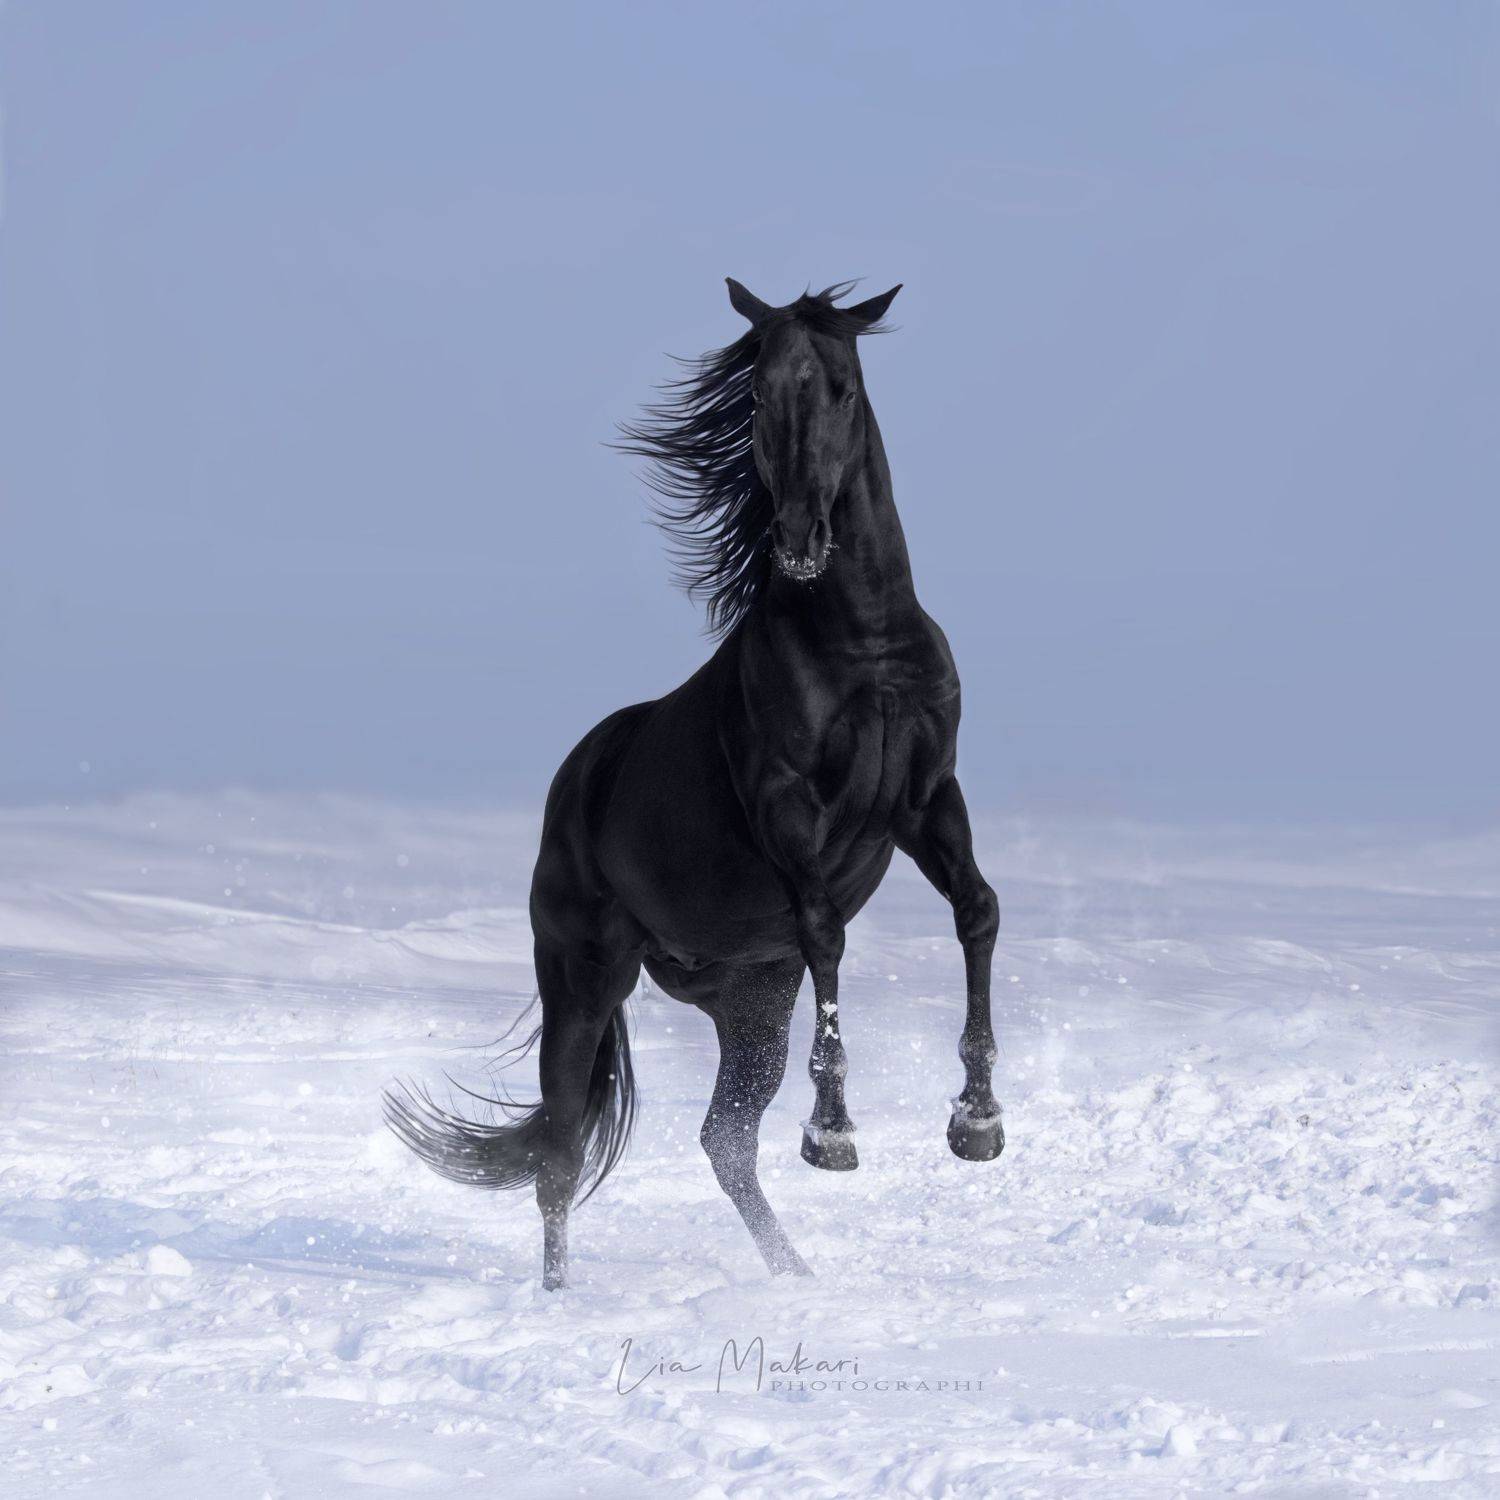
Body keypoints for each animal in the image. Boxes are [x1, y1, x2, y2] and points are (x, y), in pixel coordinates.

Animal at [385, 278, 1003, 1290]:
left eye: (840, 388)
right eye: (757, 396)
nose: (798, 540)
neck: (863, 641)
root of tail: (576, 779)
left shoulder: (926, 801)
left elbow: (977, 911)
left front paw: (978, 1123)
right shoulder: (789, 807)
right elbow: (828, 932)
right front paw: (834, 1135)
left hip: (751, 1006)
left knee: (724, 1141)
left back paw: (796, 1280)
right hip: (584, 982)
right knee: (561, 1155)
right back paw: (561, 1299)